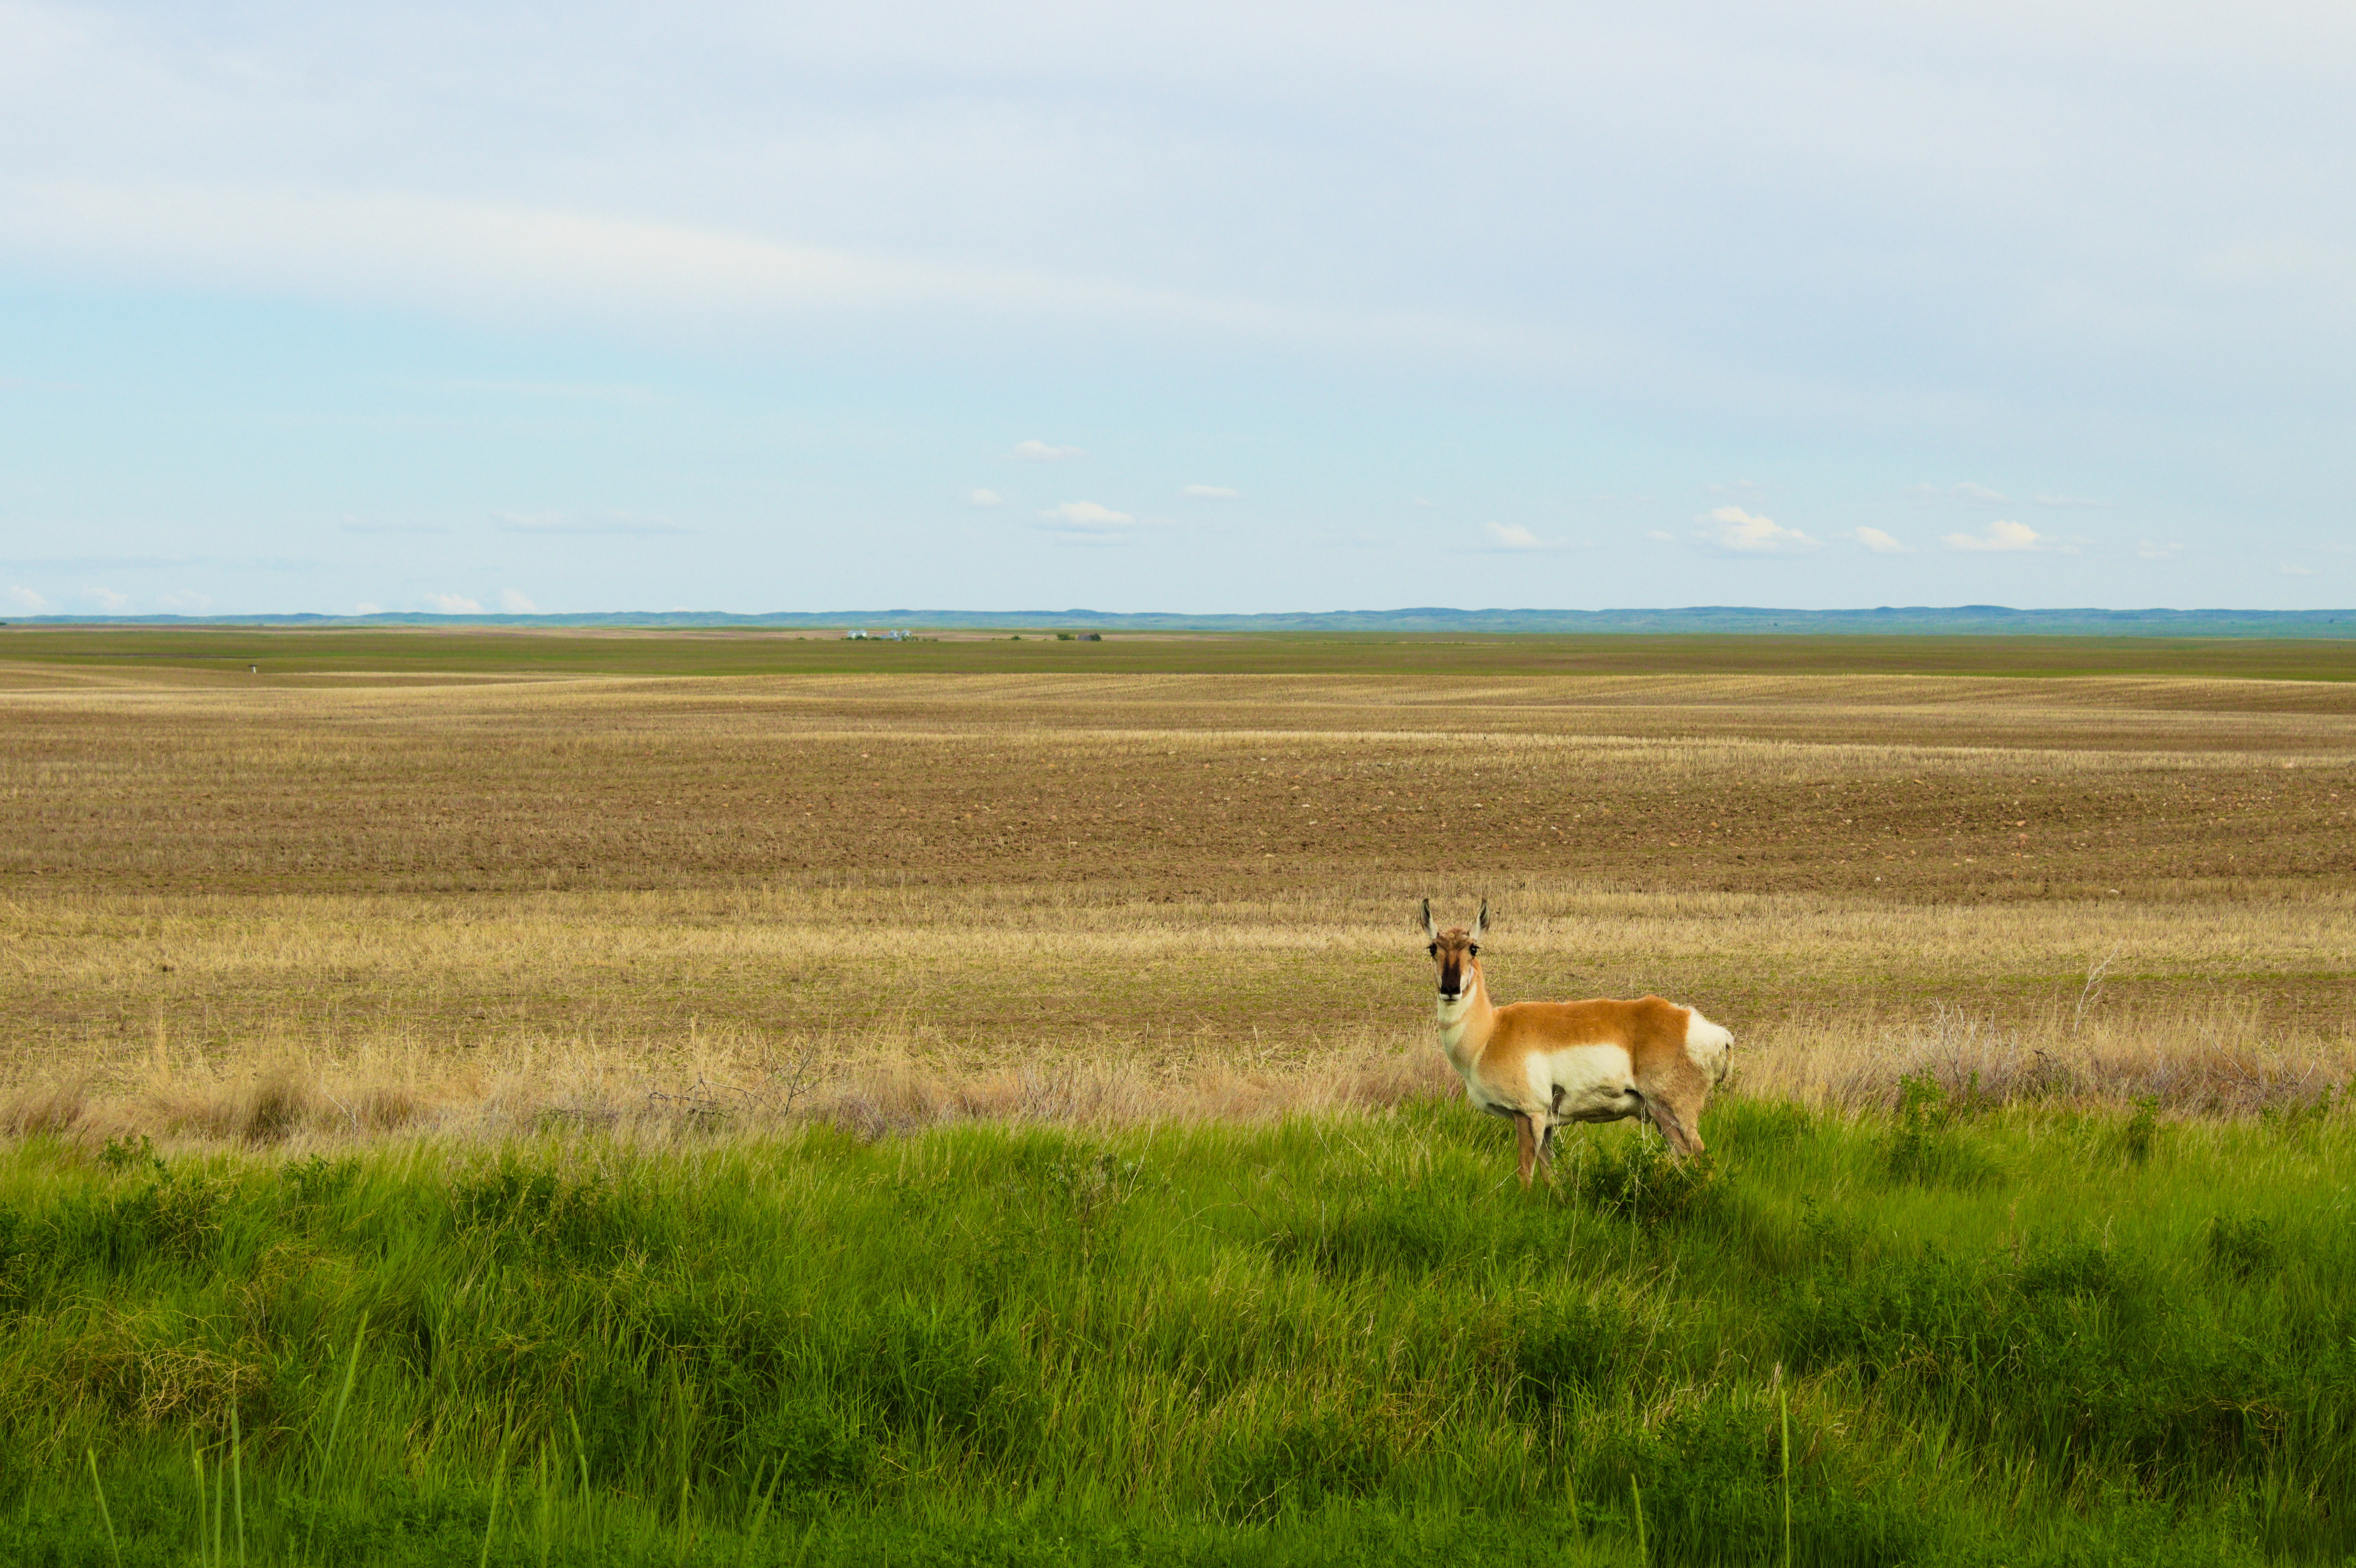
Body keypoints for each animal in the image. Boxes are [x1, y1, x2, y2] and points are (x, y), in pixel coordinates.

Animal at [1423, 899, 1733, 1187]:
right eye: (1433, 948)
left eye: (1474, 948)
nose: (1450, 989)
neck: (1490, 1033)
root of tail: (1703, 1027)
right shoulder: (1546, 1124)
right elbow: (1551, 1177)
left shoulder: (1529, 1115)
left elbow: (1525, 1177)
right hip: (1661, 1117)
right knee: (1682, 1158)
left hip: (1677, 1111)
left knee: (1702, 1159)